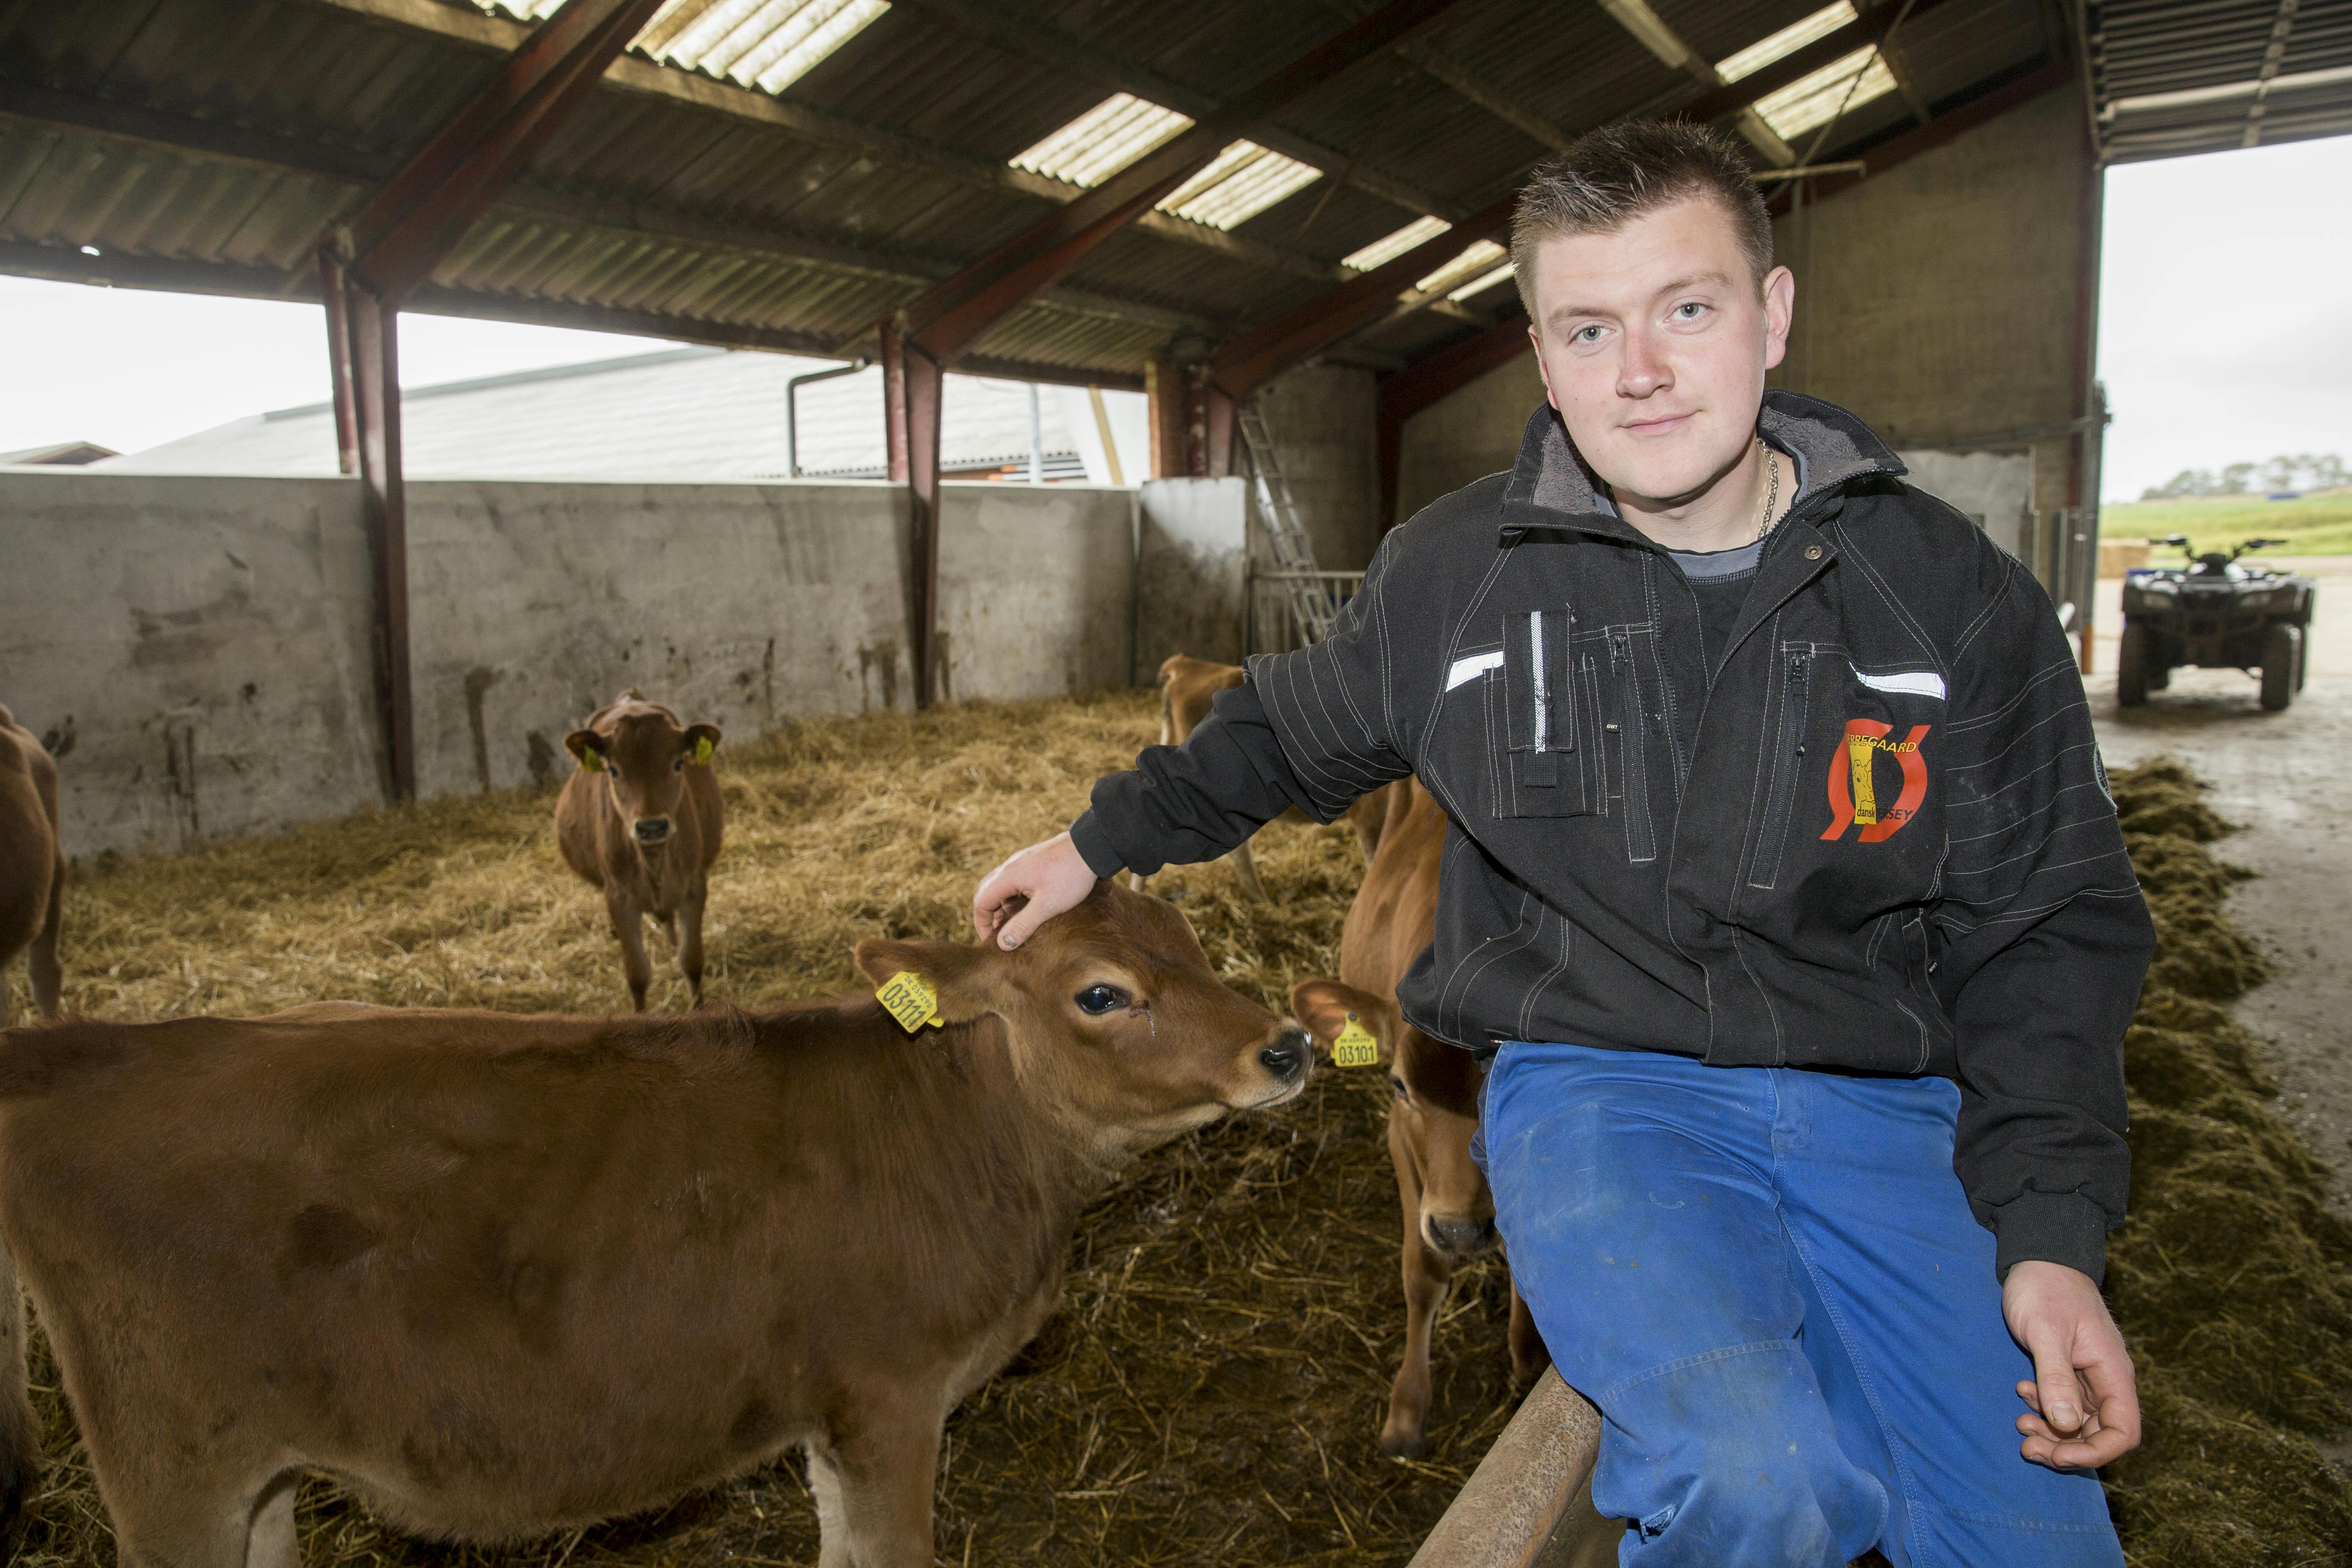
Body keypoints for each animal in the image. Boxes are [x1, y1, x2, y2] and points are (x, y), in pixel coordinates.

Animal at [0, 884, 1308, 1568]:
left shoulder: (832, 1414)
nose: (1287, 1045)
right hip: (171, 1468)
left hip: (254, 1480)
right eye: (1102, 994)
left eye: (1195, 943)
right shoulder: (888, 1394)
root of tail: (82, 1052)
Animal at [555, 691, 720, 1011]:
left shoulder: (695, 887)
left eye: (678, 765)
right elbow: (637, 974)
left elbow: (692, 961)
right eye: (614, 770)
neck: (654, 861)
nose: (652, 827)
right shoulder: (618, 898)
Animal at [1289, 785, 1543, 1457]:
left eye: (1500, 1086)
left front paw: (1528, 1357)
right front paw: (1407, 1411)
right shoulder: (1399, 1139)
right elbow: (1420, 1271)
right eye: (1399, 1086)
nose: (1461, 1229)